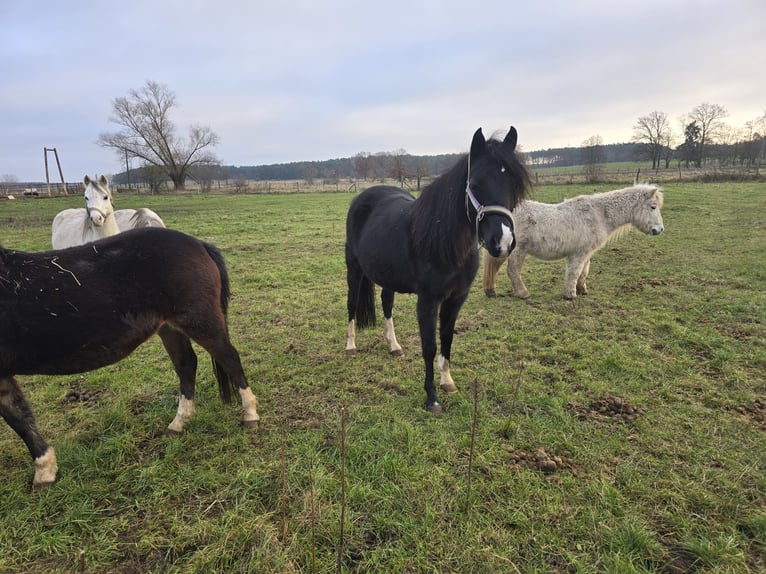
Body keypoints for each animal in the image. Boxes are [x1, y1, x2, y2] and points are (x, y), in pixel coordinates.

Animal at [0, 227, 260, 488]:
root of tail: (198, 244)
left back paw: (250, 415)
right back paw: (179, 422)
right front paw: (45, 470)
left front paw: (43, 471)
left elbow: (18, 420)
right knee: (186, 365)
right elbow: (20, 417)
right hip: (169, 327)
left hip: (199, 321)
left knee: (230, 359)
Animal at [344, 126, 532, 414]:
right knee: (352, 303)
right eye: (475, 185)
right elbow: (430, 346)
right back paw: (351, 346)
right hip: (354, 269)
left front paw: (447, 382)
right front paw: (431, 397)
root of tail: (363, 197)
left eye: (514, 186)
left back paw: (394, 346)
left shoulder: (456, 298)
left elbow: (446, 339)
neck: (444, 241)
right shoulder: (428, 300)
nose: (502, 242)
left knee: (386, 304)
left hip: (387, 276)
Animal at [484, 184, 664, 302]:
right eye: (653, 207)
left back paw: (491, 291)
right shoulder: (579, 253)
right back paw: (523, 293)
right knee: (513, 271)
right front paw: (570, 294)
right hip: (518, 250)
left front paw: (582, 289)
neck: (599, 215)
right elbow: (574, 272)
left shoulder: (587, 253)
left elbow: (583, 272)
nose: (660, 230)